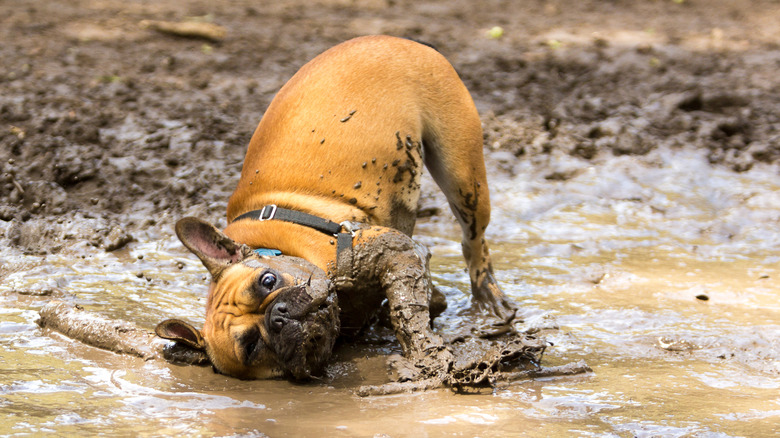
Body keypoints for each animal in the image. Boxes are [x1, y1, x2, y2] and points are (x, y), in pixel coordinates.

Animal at [155, 35, 516, 380]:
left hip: (462, 175)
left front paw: (424, 354)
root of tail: (398, 40)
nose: (278, 315)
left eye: (268, 281)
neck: (277, 246)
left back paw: (489, 298)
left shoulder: (392, 250)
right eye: (252, 346)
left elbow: (408, 309)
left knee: (473, 240)